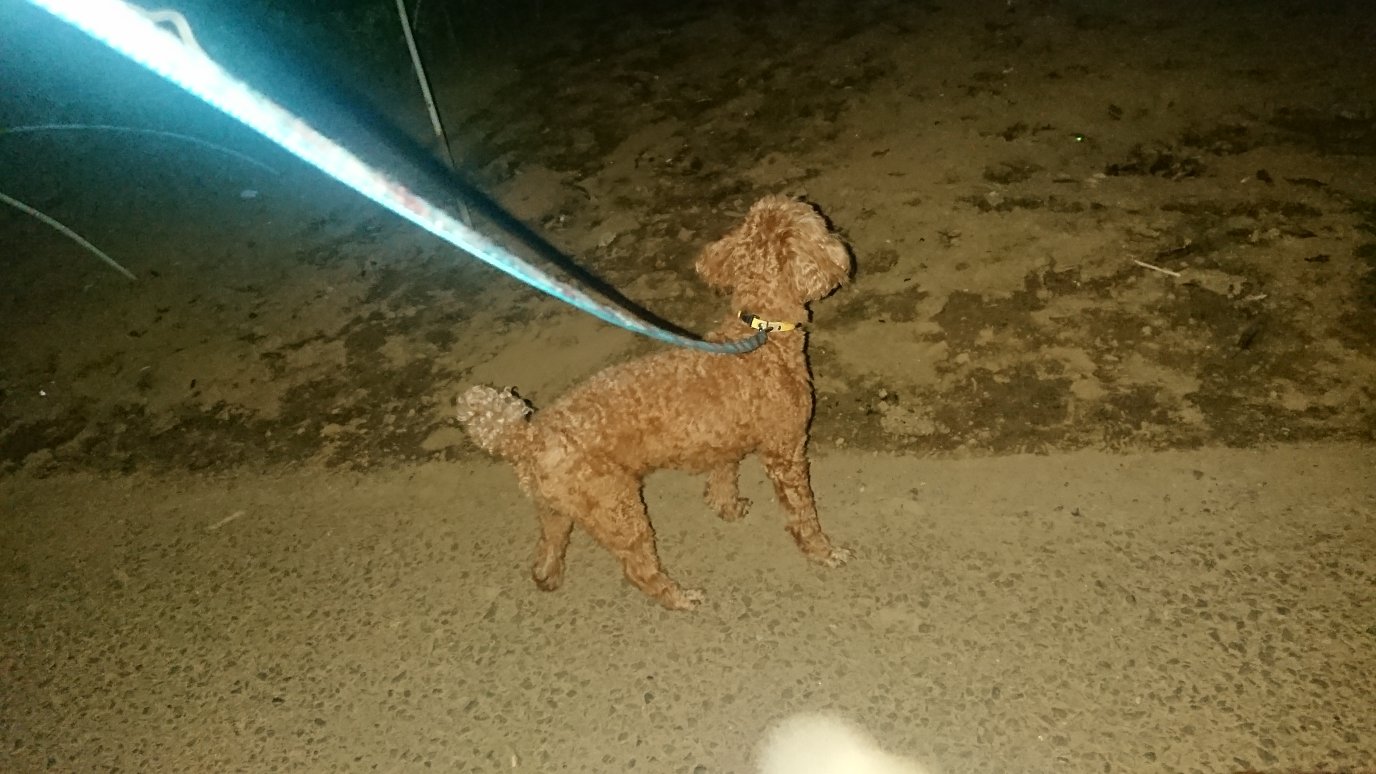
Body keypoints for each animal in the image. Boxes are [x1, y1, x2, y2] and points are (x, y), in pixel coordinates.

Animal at [456, 196, 852, 610]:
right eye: (819, 225)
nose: (840, 244)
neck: (760, 336)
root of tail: (526, 438)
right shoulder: (785, 453)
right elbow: (803, 513)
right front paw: (823, 552)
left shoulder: (724, 442)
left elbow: (723, 477)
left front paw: (726, 507)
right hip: (619, 509)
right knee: (638, 570)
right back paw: (679, 597)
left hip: (558, 509)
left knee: (548, 547)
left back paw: (548, 576)